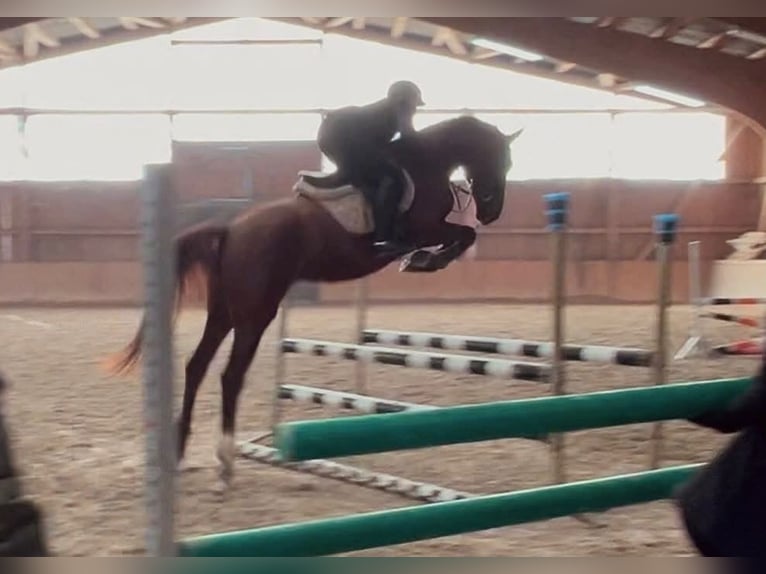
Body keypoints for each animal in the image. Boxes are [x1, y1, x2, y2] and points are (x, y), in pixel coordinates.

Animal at [108, 115, 524, 492]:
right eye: (499, 159)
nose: (492, 213)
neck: (427, 162)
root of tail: (232, 229)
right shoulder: (425, 228)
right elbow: (463, 235)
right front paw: (424, 261)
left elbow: (462, 236)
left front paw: (423, 260)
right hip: (255, 314)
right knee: (230, 375)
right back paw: (224, 464)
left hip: (224, 312)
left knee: (196, 366)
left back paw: (179, 454)